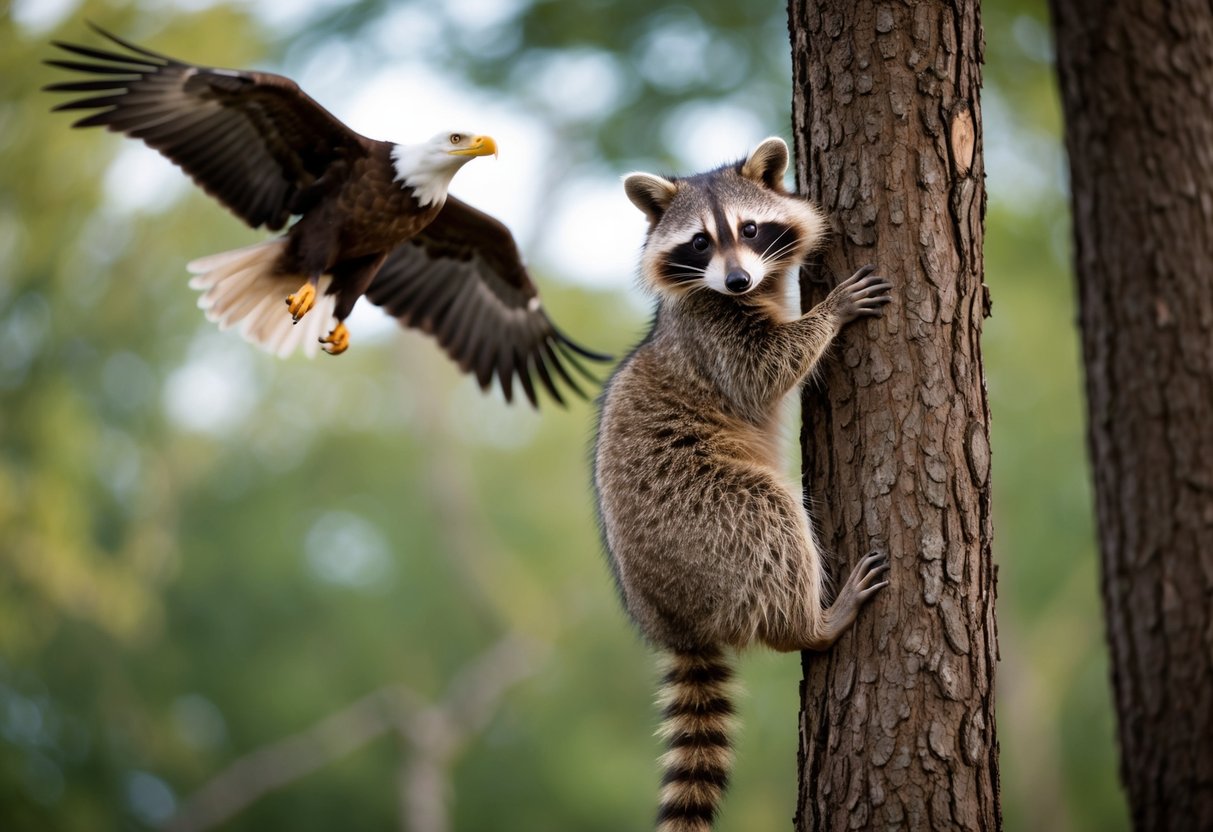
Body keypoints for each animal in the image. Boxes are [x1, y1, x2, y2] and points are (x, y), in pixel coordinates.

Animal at [593, 137, 892, 832]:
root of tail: (672, 619)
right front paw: (828, 313)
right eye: (701, 242)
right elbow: (765, 370)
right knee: (769, 517)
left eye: (750, 229)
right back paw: (812, 623)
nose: (737, 281)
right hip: (700, 515)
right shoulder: (713, 334)